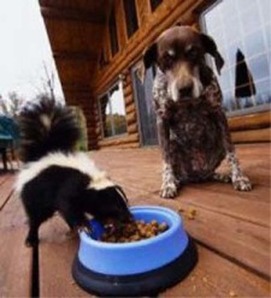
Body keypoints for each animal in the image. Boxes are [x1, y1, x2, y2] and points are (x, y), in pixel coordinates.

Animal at [15, 98, 133, 247]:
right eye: (116, 205)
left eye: (125, 202)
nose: (129, 218)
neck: (89, 180)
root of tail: (44, 154)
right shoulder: (69, 188)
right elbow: (69, 207)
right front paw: (84, 225)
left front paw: (106, 222)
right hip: (35, 196)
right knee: (35, 218)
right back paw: (31, 239)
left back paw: (70, 230)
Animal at [142, 25, 253, 198]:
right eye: (167, 59)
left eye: (193, 53)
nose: (184, 89)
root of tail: (197, 175)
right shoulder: (162, 119)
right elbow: (166, 160)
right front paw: (168, 183)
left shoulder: (218, 112)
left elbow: (231, 151)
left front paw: (239, 177)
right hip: (173, 145)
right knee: (179, 173)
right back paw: (177, 181)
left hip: (217, 144)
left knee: (212, 171)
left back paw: (222, 176)